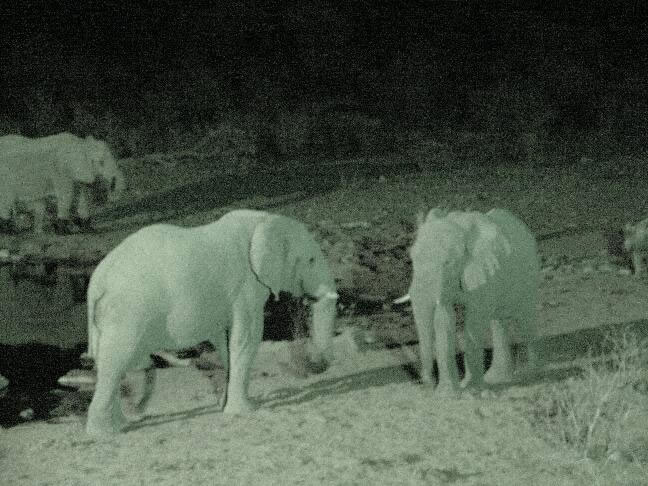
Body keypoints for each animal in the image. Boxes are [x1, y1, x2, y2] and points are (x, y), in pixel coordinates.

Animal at [84, 209, 339, 436]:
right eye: (311, 260)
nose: (316, 364)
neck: (264, 221)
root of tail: (97, 280)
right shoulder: (245, 286)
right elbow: (247, 338)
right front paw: (246, 410)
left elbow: (226, 343)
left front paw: (225, 405)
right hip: (127, 314)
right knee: (116, 361)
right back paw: (106, 432)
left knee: (111, 363)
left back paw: (120, 423)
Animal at [402, 207, 541, 397]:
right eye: (412, 259)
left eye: (447, 263)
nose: (425, 387)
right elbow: (444, 319)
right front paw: (447, 394)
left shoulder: (482, 272)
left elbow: (474, 320)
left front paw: (471, 389)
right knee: (498, 323)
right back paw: (496, 378)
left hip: (529, 273)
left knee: (526, 319)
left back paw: (530, 374)